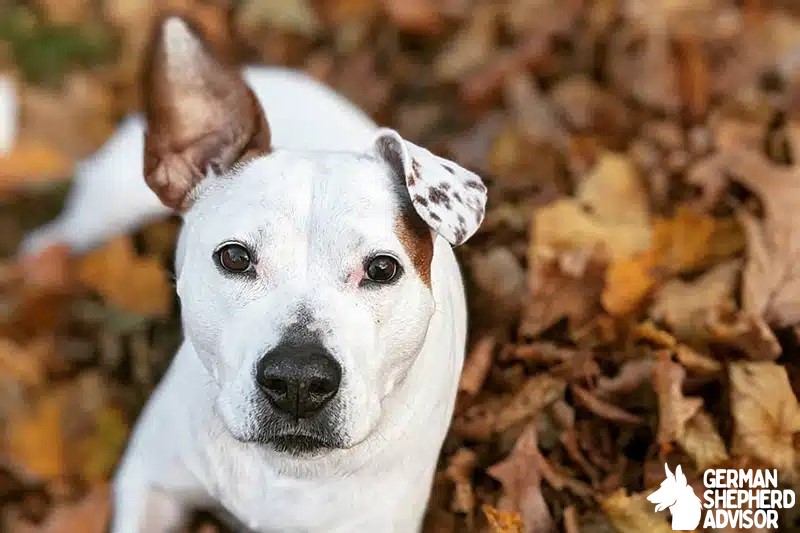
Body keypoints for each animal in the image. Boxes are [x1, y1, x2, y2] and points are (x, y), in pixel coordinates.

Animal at [21, 14, 488, 528]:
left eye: (382, 268)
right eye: (235, 258)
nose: (299, 381)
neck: (285, 472)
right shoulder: (149, 482)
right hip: (104, 209)